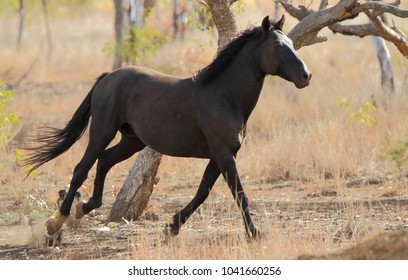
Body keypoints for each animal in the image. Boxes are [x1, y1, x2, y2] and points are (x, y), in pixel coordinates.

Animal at [25, 14, 310, 238]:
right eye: (277, 45)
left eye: (291, 44)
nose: (306, 76)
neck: (224, 96)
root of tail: (108, 78)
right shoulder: (223, 154)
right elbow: (239, 194)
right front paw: (254, 234)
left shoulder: (221, 155)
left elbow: (203, 192)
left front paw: (172, 227)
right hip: (102, 132)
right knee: (81, 169)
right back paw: (56, 222)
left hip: (132, 140)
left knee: (104, 161)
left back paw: (84, 207)